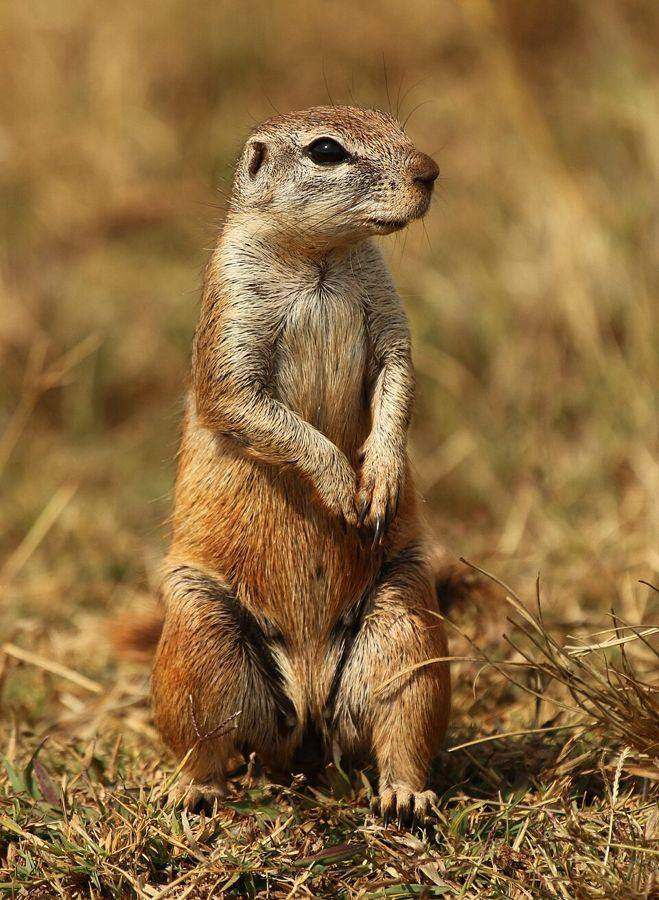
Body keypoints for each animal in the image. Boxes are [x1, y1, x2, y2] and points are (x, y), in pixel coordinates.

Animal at [140, 106, 452, 827]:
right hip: (199, 633)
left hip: (404, 622)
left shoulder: (387, 308)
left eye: (397, 124)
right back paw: (188, 790)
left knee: (401, 720)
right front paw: (340, 483)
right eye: (326, 151)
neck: (320, 259)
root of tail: (309, 712)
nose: (429, 171)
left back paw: (405, 794)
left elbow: (399, 374)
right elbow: (245, 401)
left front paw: (380, 478)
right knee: (206, 740)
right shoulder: (231, 306)